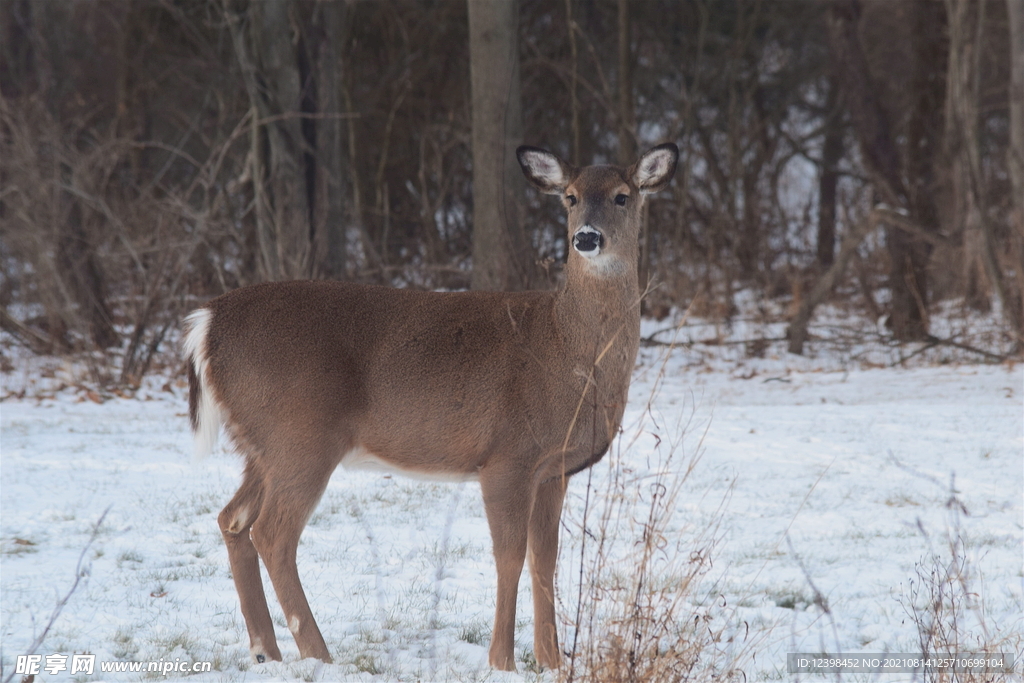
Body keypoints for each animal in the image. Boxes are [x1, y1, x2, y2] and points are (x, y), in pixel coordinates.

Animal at [182, 141, 679, 671]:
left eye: (623, 196)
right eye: (570, 197)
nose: (587, 237)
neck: (567, 350)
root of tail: (206, 324)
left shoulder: (553, 469)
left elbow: (545, 560)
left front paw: (552, 662)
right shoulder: (507, 458)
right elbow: (510, 557)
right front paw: (502, 661)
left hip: (262, 445)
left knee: (232, 519)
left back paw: (267, 652)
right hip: (300, 435)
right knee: (273, 534)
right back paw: (319, 655)